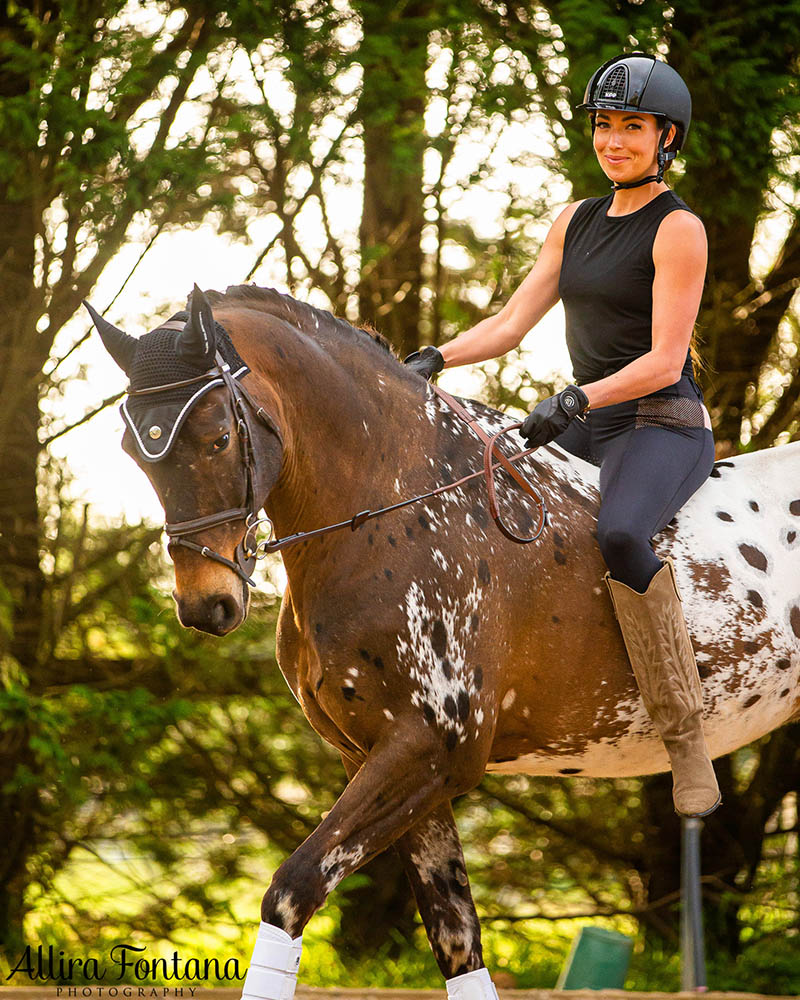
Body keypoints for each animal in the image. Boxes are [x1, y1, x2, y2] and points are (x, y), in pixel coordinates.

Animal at [87, 286, 800, 996]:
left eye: (217, 438)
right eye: (131, 450)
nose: (206, 606)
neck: (394, 504)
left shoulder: (431, 748)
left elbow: (291, 892)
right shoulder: (382, 757)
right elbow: (457, 941)